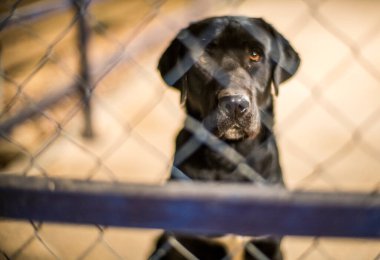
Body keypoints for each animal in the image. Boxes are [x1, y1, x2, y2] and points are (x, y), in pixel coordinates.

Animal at [150, 16, 302, 260]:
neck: (231, 157)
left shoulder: (266, 243)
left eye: (255, 55)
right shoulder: (191, 243)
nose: (235, 104)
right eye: (204, 57)